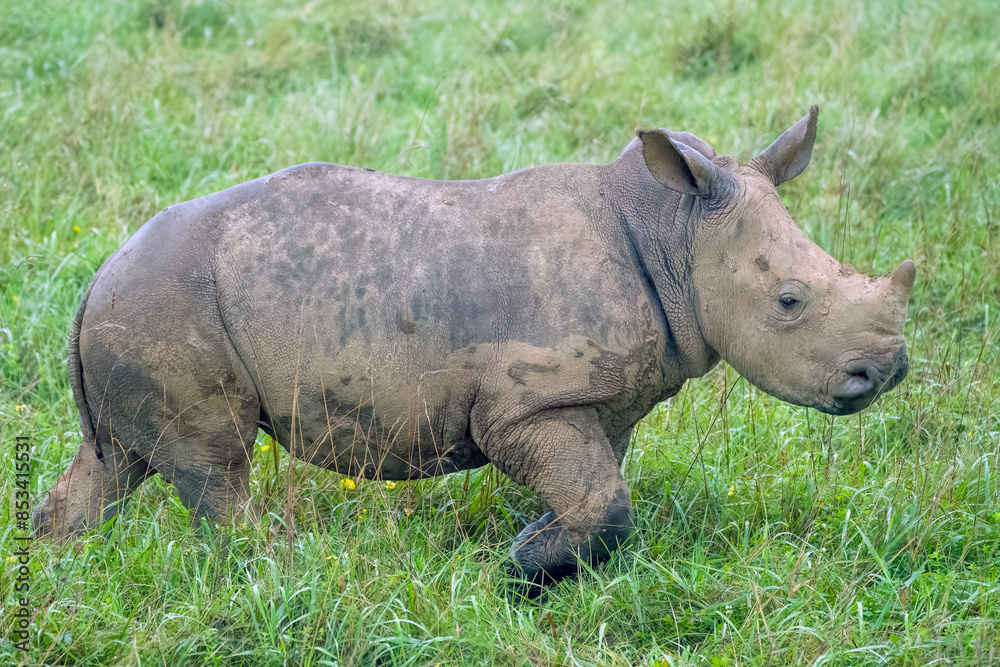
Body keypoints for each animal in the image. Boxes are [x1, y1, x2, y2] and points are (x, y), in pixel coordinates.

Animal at [35, 107, 914, 589]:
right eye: (789, 302)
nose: (888, 370)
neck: (675, 230)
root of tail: (97, 275)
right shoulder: (526, 402)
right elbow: (604, 500)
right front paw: (517, 570)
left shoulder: (599, 399)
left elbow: (596, 491)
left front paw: (535, 554)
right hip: (164, 303)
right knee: (215, 467)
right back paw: (279, 570)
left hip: (139, 309)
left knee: (116, 463)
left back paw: (56, 566)